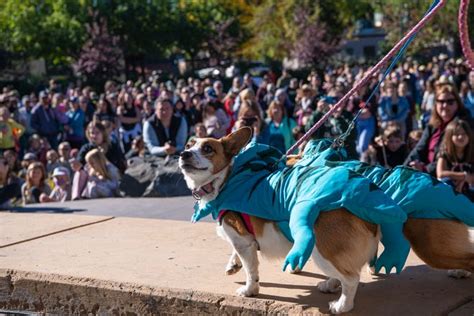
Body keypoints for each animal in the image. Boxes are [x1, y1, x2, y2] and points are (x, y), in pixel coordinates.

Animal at [179, 128, 474, 314]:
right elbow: (238, 255)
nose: (183, 154)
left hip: (336, 248)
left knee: (351, 278)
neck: (229, 177)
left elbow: (252, 269)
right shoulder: (242, 240)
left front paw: (250, 289)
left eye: (208, 148)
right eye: (188, 145)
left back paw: (342, 305)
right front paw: (233, 264)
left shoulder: (244, 240)